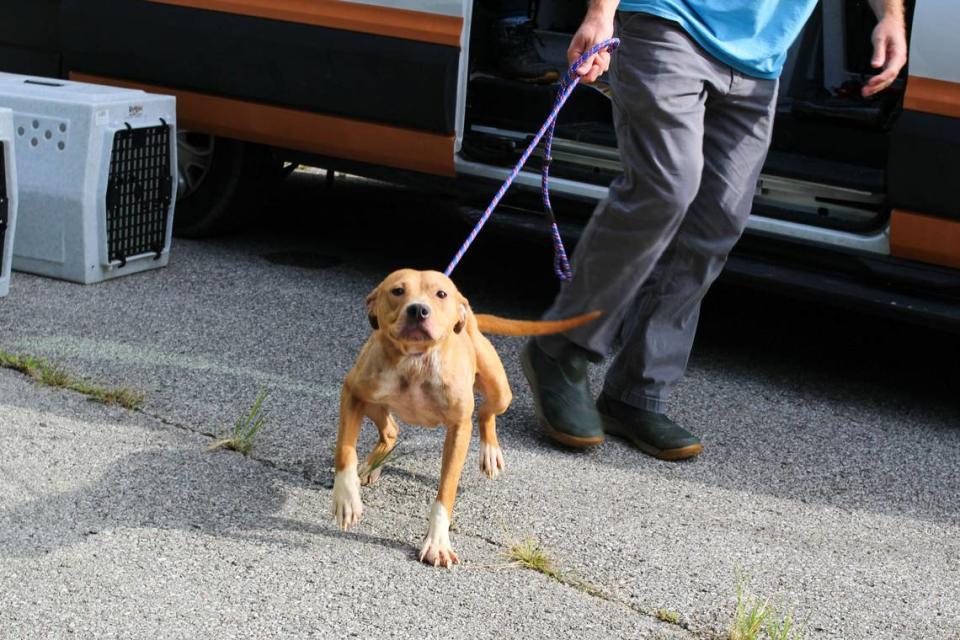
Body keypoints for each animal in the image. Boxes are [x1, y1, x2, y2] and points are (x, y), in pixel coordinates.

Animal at [334, 268, 596, 564]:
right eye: (397, 291)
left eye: (441, 294)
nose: (418, 310)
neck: (415, 361)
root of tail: (470, 318)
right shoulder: (352, 392)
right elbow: (345, 450)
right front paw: (346, 499)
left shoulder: (459, 428)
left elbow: (447, 488)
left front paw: (437, 542)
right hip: (372, 402)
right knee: (391, 431)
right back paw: (370, 467)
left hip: (500, 392)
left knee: (485, 412)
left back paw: (490, 452)